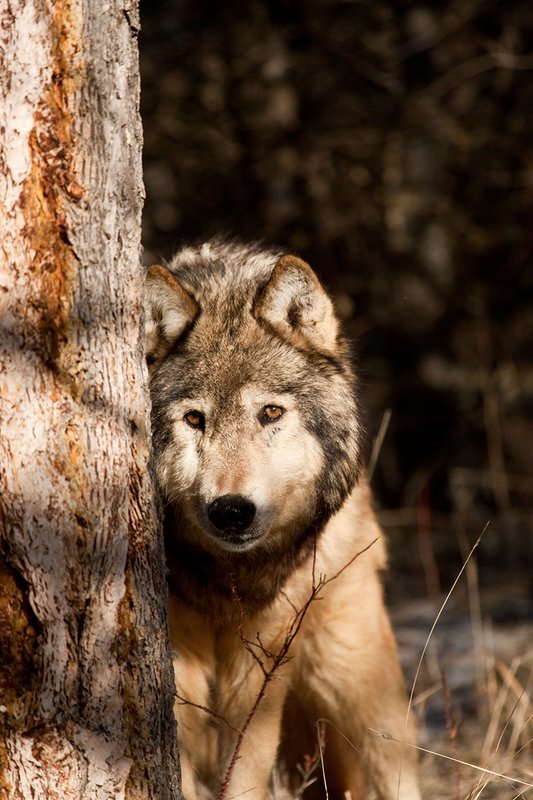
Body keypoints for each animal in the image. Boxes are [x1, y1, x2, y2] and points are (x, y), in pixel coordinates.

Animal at [145, 239, 421, 800]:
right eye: (194, 419)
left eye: (270, 413)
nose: (231, 511)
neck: (229, 580)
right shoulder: (179, 670)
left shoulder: (259, 672)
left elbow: (245, 774)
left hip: (353, 677)